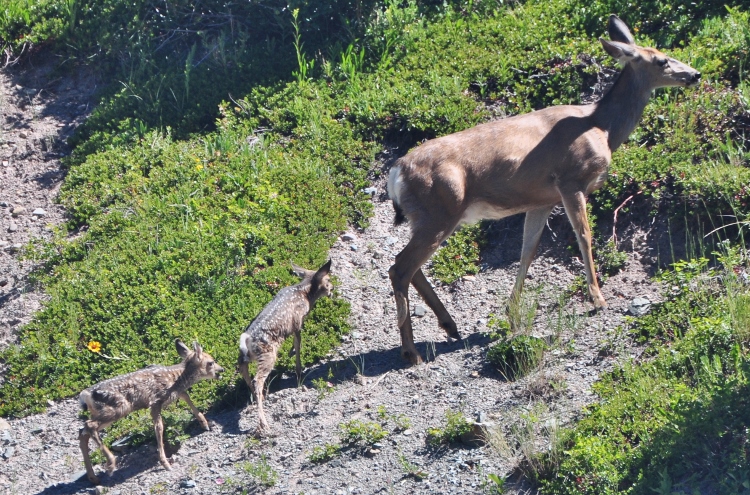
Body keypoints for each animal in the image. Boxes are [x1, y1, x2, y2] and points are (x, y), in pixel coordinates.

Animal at [390, 15, 704, 364]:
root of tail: (397, 171)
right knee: (399, 268)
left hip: (430, 217)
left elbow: (528, 250)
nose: (695, 74)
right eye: (662, 60)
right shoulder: (570, 180)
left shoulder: (540, 200)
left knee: (411, 267)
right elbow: (584, 236)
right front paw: (598, 299)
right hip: (440, 210)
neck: (602, 127)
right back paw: (411, 351)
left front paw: (512, 312)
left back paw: (450, 326)